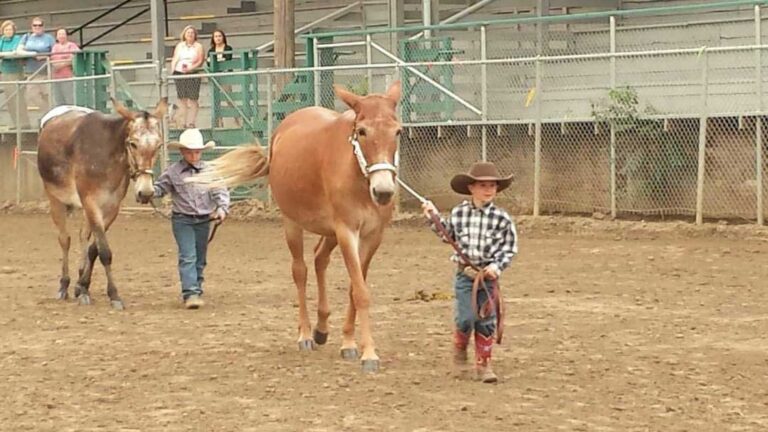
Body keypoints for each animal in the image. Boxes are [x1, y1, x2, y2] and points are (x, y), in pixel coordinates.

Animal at [36, 100, 167, 310]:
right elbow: (104, 251)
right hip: (54, 198)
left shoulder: (112, 207)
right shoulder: (90, 201)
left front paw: (83, 286)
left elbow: (94, 248)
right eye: (133, 143)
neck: (106, 155)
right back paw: (64, 285)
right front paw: (114, 295)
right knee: (65, 239)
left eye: (158, 145)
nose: (146, 193)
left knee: (83, 236)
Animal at [194, 82, 402, 372]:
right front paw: (369, 354)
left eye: (398, 131)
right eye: (362, 131)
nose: (383, 192)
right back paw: (305, 335)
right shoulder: (347, 231)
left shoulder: (373, 236)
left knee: (319, 259)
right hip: (293, 224)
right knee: (301, 271)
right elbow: (360, 291)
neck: (358, 177)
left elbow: (354, 288)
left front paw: (349, 343)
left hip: (329, 232)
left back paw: (322, 329)